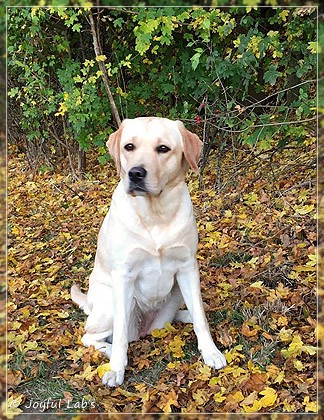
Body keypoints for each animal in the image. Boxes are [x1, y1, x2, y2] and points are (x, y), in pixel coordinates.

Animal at [72, 116, 227, 386]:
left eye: (163, 148)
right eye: (129, 147)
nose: (135, 173)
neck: (156, 214)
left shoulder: (188, 268)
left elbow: (200, 318)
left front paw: (210, 351)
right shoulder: (123, 275)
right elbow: (120, 336)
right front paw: (117, 369)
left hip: (176, 291)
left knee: (183, 313)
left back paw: (184, 316)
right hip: (109, 304)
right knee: (92, 336)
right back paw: (111, 352)